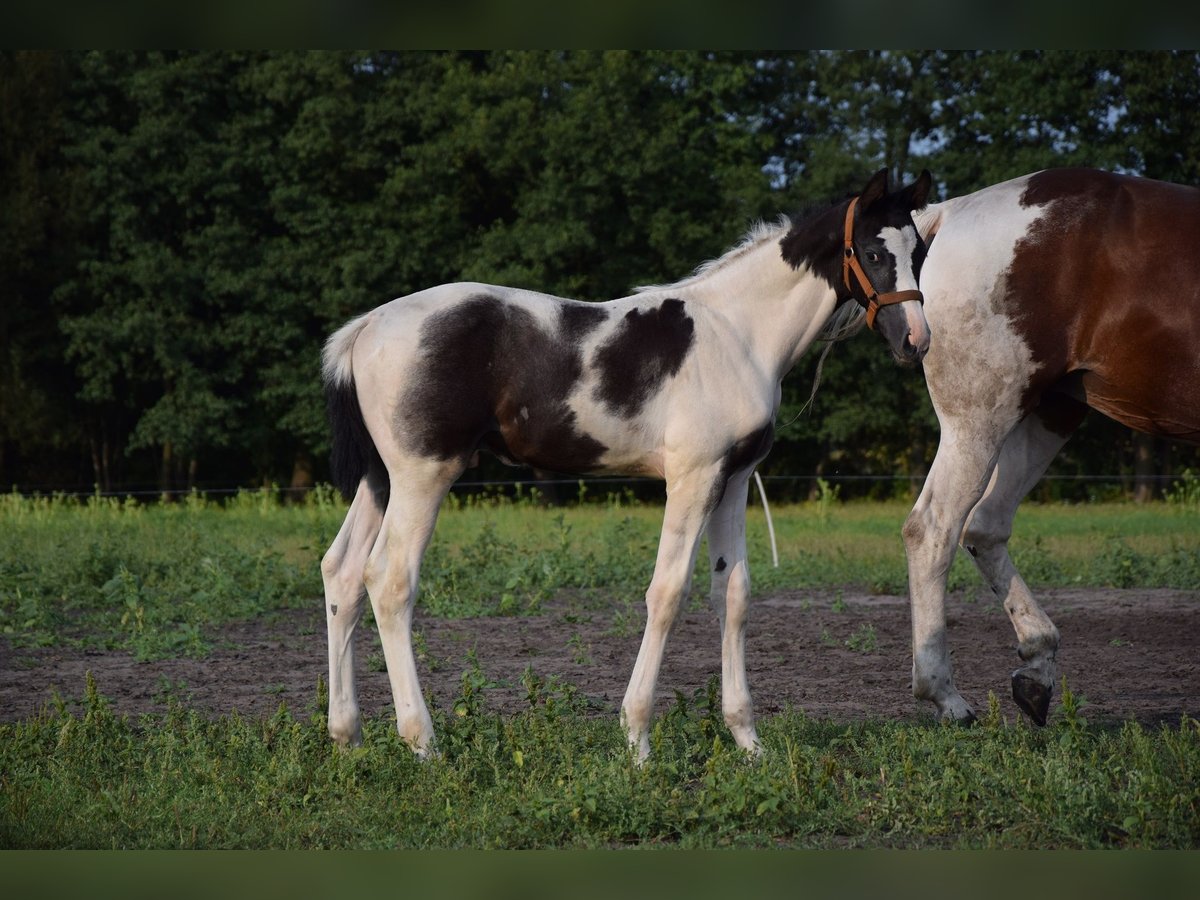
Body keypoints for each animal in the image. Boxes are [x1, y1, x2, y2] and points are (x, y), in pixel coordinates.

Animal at [324, 169, 931, 763]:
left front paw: (748, 741)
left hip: (380, 481)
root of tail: (366, 327)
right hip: (423, 477)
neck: (738, 333)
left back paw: (347, 736)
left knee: (343, 573)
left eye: (920, 251)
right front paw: (637, 741)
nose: (916, 341)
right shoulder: (692, 479)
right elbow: (667, 593)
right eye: (874, 253)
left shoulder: (733, 480)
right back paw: (422, 742)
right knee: (390, 581)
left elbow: (732, 595)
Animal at [907, 169, 1200, 729]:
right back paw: (946, 696)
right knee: (933, 529)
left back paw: (1037, 668)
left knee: (985, 525)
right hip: (980, 419)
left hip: (1051, 411)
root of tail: (952, 211)